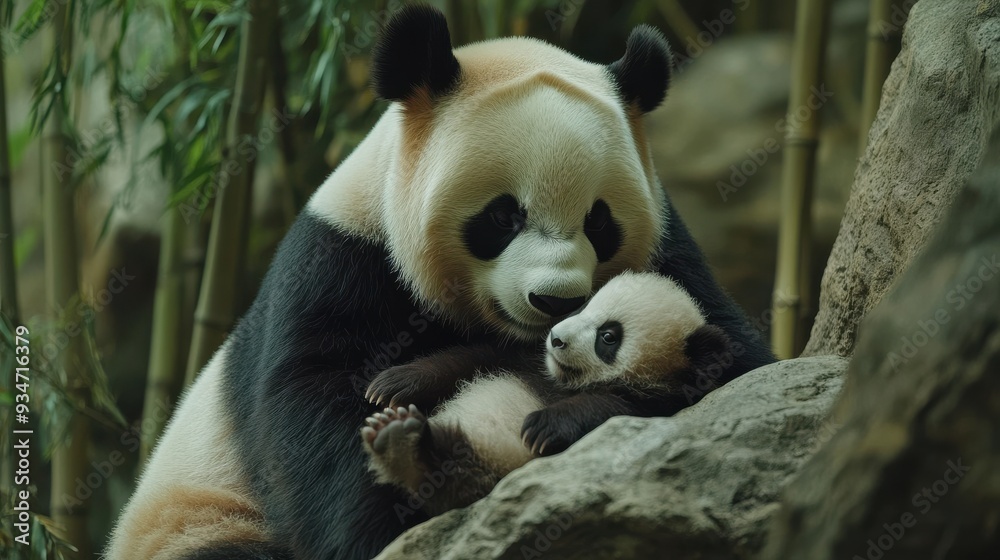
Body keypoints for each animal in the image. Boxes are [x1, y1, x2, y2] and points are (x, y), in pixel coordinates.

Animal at [360, 271, 732, 516]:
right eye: (584, 308)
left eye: (608, 336)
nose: (556, 339)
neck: (562, 382)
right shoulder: (527, 359)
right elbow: (472, 359)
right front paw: (392, 385)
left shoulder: (656, 402)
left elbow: (607, 409)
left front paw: (543, 425)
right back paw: (395, 435)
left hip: (494, 469)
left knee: (453, 473)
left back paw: (404, 446)